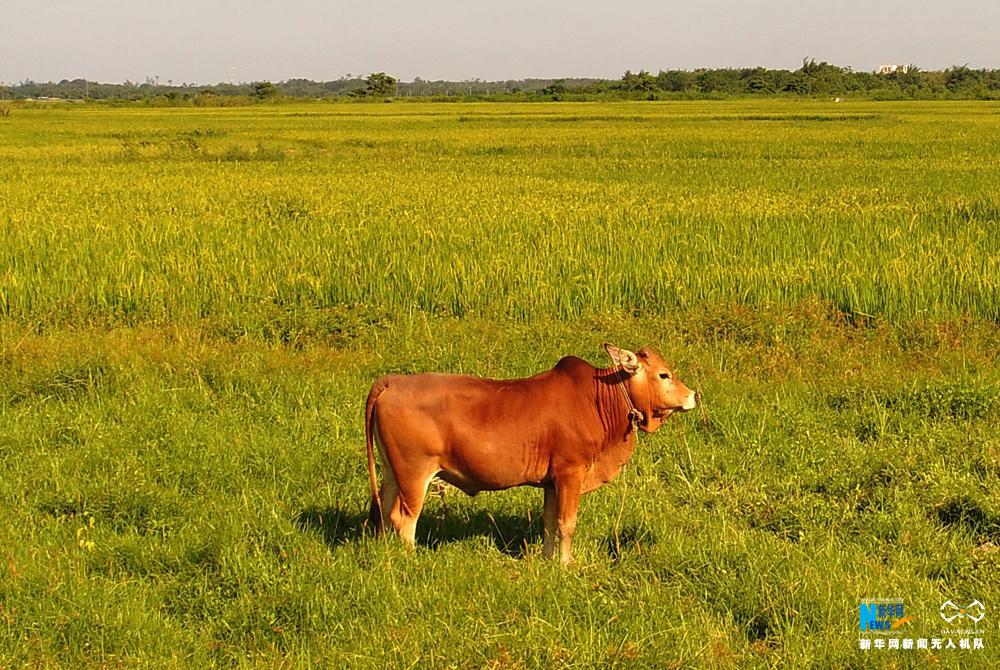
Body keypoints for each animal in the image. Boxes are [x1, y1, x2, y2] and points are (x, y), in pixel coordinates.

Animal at [364, 344, 700, 564]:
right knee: (404, 518)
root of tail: (393, 381)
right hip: (414, 472)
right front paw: (566, 565)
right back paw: (410, 560)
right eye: (664, 375)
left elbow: (550, 521)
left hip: (392, 472)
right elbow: (567, 522)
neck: (597, 399)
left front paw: (549, 559)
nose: (693, 395)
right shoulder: (570, 473)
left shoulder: (551, 481)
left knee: (384, 511)